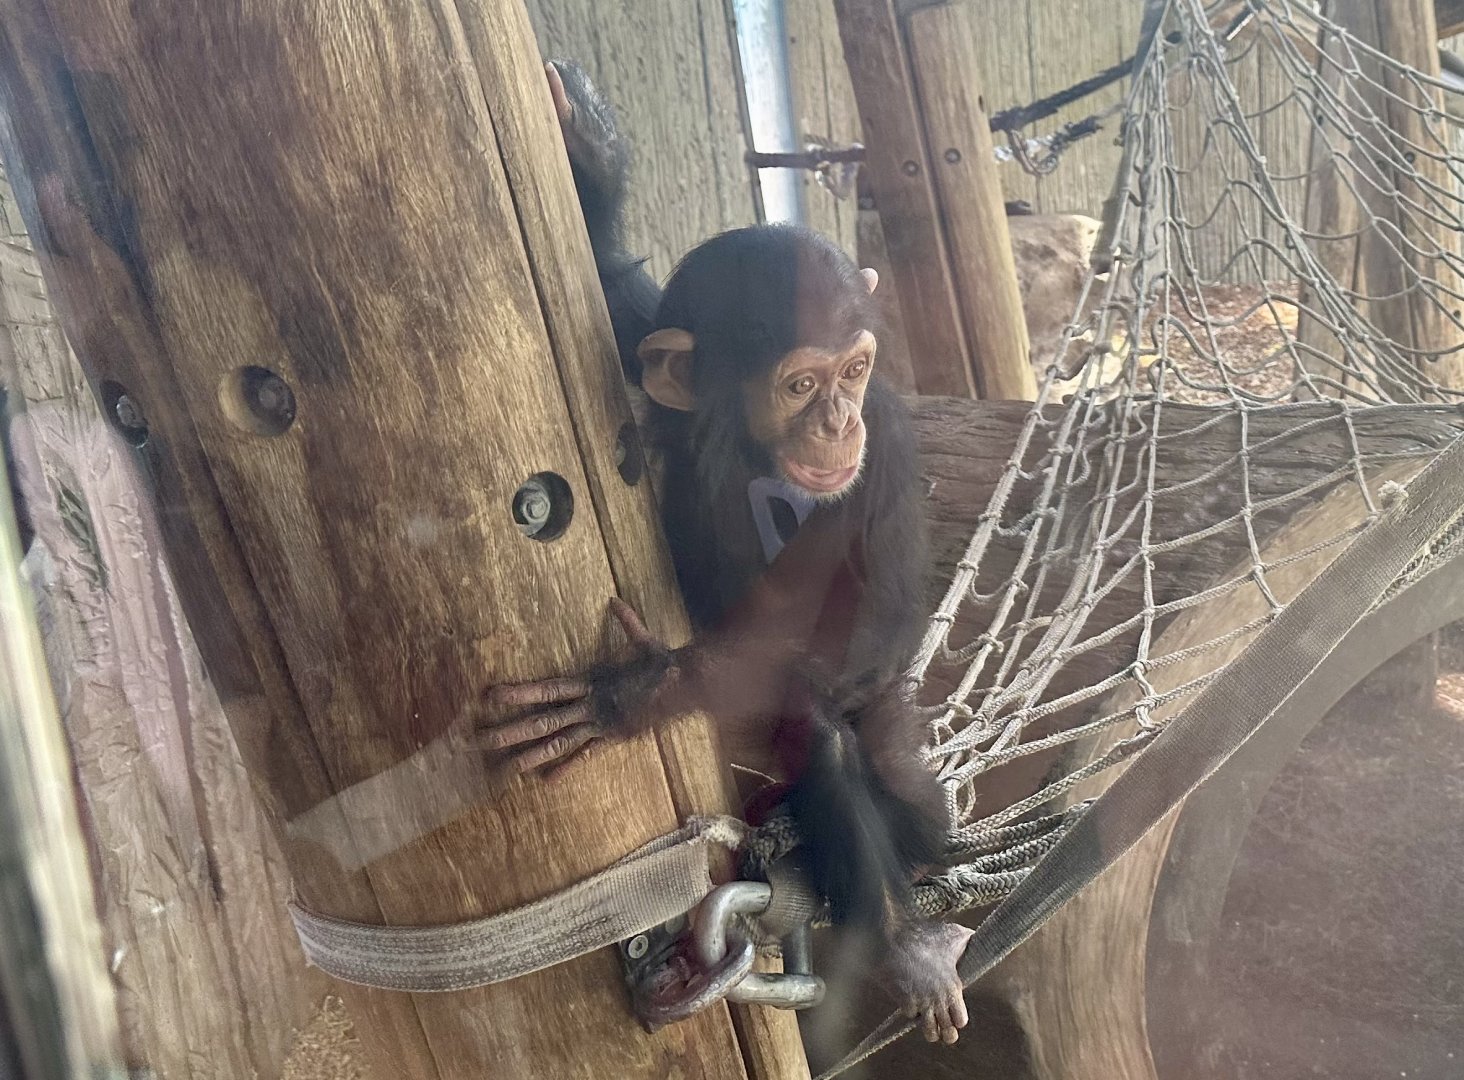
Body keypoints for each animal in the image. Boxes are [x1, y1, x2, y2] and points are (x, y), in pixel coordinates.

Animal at [476, 61, 973, 1045]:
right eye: (800, 383)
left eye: (855, 371)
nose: (838, 419)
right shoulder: (661, 357)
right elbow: (620, 300)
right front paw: (588, 158)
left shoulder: (885, 450)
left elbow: (850, 620)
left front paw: (631, 689)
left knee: (863, 756)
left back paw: (906, 939)